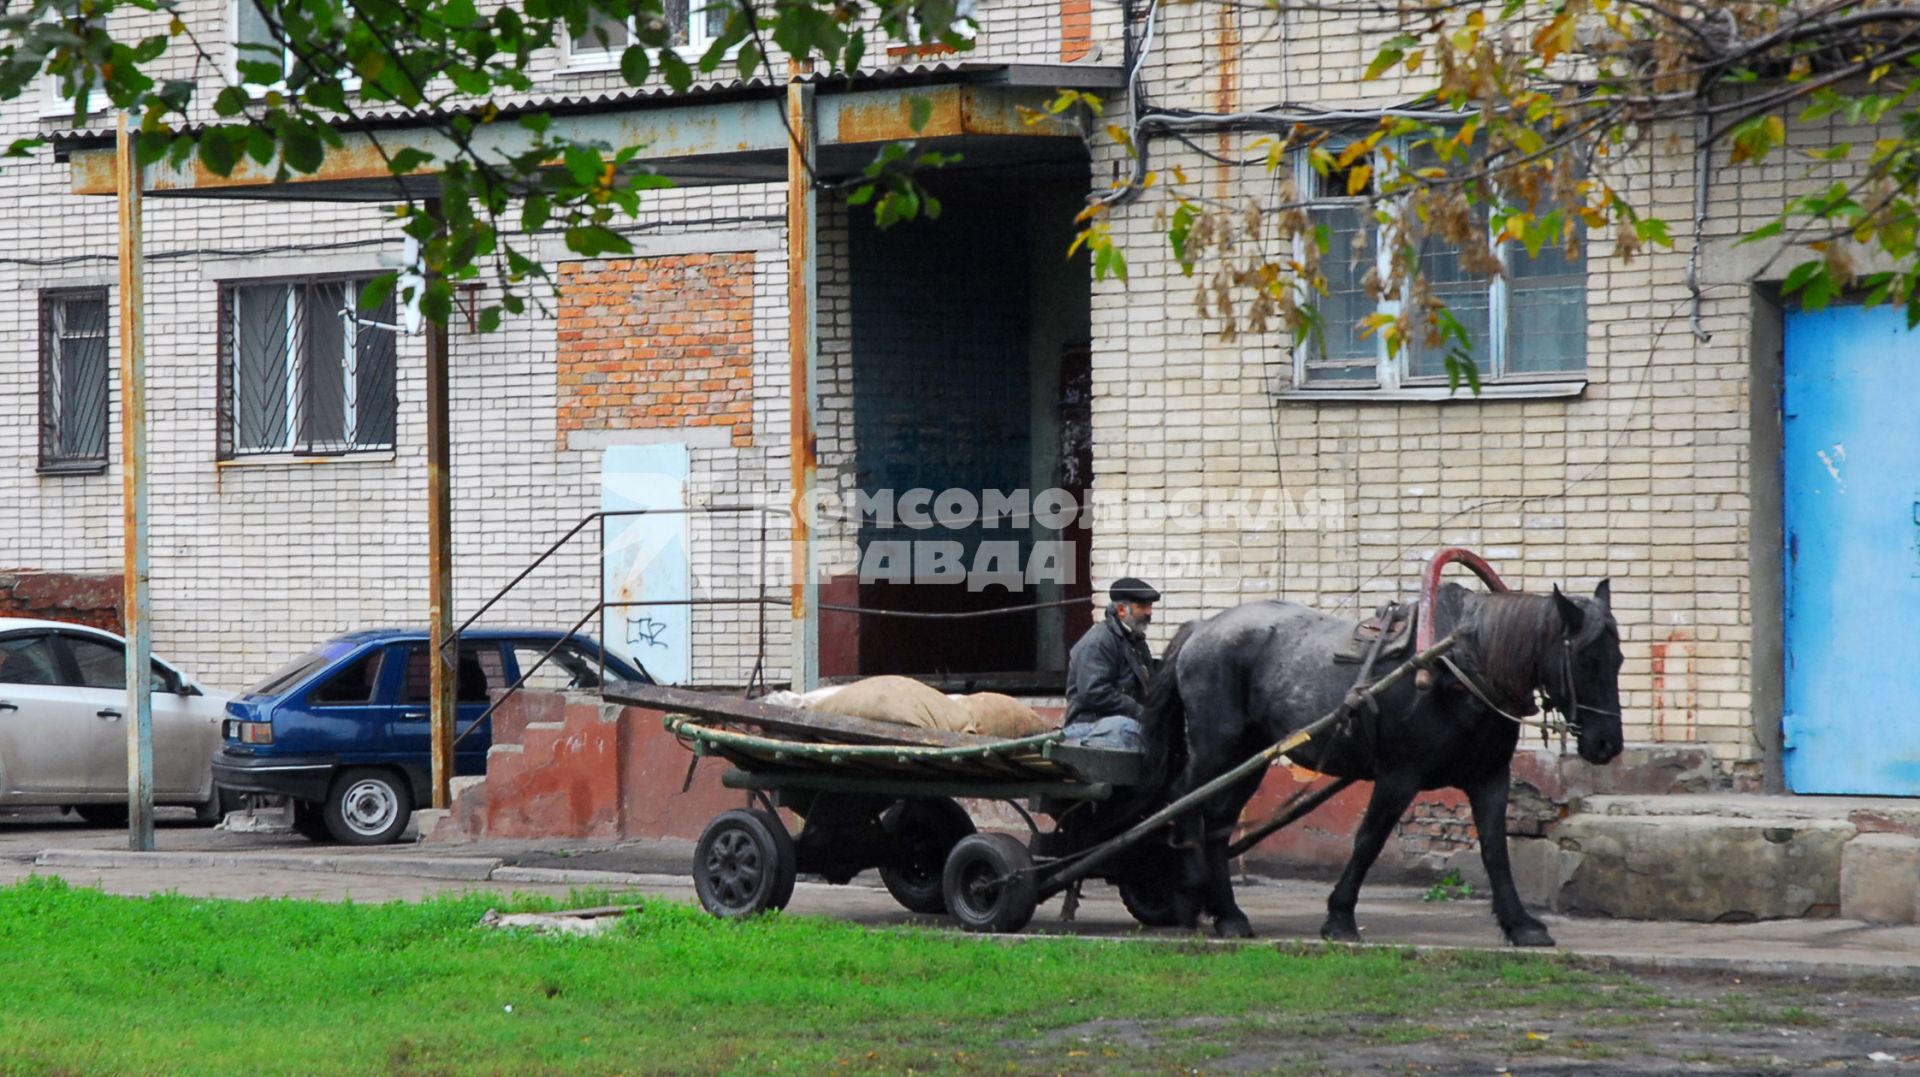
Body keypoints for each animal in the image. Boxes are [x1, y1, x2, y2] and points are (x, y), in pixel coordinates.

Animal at [1136, 579, 1620, 940]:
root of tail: (1203, 627)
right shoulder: (1397, 777)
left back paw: (1226, 913)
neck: (1457, 667)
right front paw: (1339, 918)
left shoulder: (1491, 778)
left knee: (1218, 821)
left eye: (1617, 659)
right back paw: (1196, 886)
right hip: (1218, 747)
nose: (1608, 746)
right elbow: (1368, 841)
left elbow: (1495, 851)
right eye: (1587, 661)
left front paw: (1520, 925)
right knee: (1184, 799)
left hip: (1251, 757)